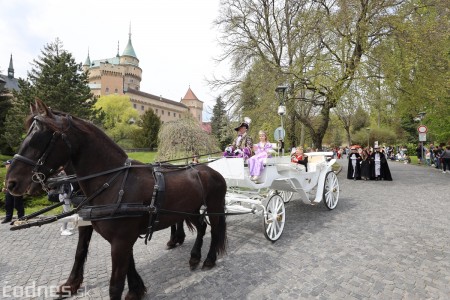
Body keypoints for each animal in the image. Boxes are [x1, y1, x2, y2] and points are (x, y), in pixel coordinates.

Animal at [7, 99, 229, 300]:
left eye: (39, 139)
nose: (10, 183)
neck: (113, 181)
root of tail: (210, 170)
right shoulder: (118, 237)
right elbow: (99, 257)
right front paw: (135, 289)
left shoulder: (121, 240)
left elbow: (115, 285)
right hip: (189, 210)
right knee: (201, 227)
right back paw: (194, 257)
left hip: (213, 207)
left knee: (214, 230)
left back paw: (208, 259)